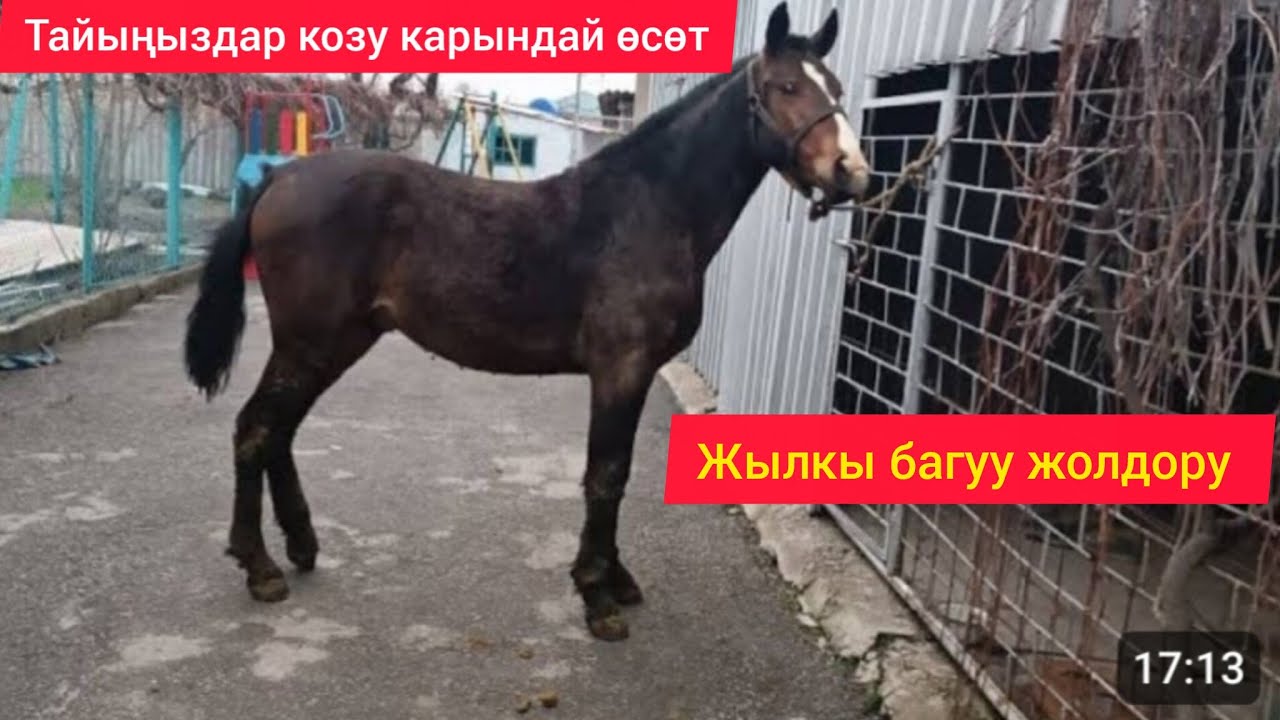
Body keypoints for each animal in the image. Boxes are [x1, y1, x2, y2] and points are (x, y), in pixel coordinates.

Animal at [183, 0, 870, 642]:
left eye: (836, 88)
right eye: (786, 87)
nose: (853, 173)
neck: (646, 209)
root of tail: (280, 177)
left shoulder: (636, 372)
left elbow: (615, 473)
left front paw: (616, 579)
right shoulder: (620, 369)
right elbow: (606, 475)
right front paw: (598, 596)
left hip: (336, 342)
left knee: (279, 431)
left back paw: (300, 546)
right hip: (309, 342)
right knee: (255, 429)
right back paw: (260, 567)